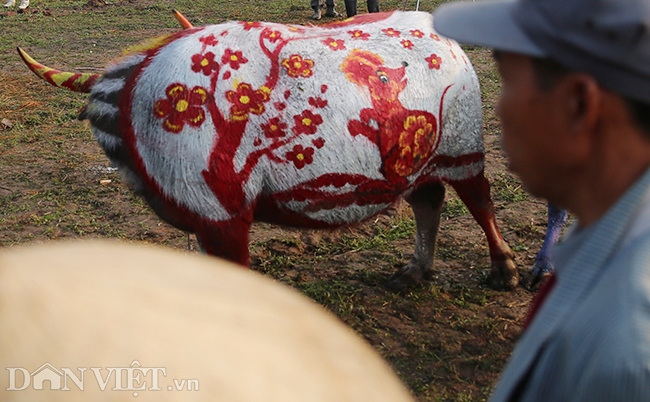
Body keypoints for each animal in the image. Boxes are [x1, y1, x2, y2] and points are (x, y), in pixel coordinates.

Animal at [17, 11, 516, 290]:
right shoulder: (206, 218)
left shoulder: (226, 214)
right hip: (421, 164)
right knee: (428, 200)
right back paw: (414, 271)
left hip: (464, 150)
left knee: (479, 199)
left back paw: (504, 270)